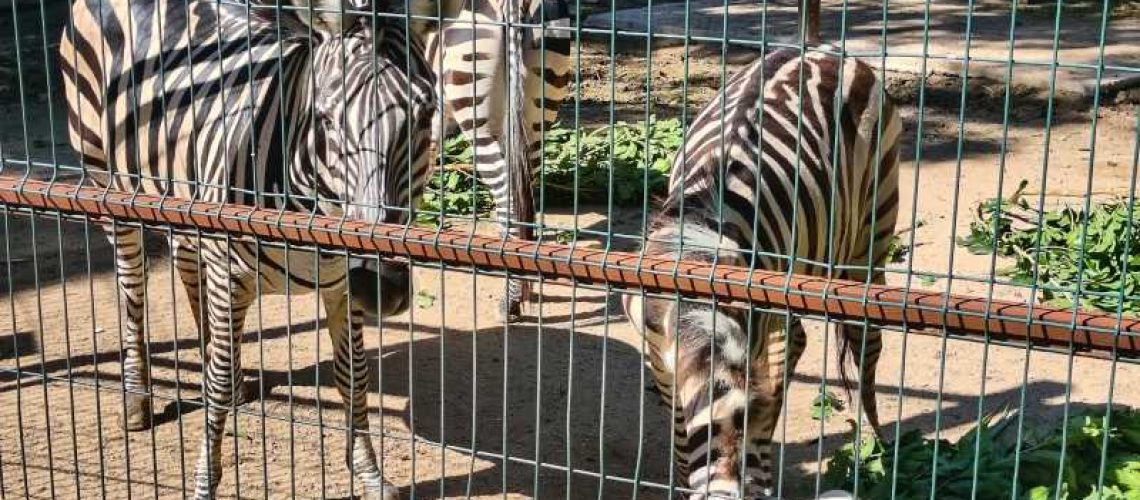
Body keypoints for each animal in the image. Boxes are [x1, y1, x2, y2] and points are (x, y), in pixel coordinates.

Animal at [59, 1, 434, 498]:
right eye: (325, 120)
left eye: (426, 117)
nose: (381, 285)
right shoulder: (233, 272)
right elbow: (214, 385)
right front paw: (204, 484)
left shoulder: (340, 286)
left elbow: (354, 377)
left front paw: (370, 476)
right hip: (107, 183)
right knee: (132, 290)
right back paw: (137, 399)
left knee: (186, 266)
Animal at [408, 0, 573, 321]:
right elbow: (426, 157)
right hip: (535, 116)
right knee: (523, 196)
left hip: (476, 109)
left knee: (507, 200)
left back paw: (511, 298)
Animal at [622, 46, 901, 498]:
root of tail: (825, 51)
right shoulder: (661, 364)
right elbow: (685, 442)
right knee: (800, 340)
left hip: (871, 232)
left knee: (865, 346)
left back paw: (880, 450)